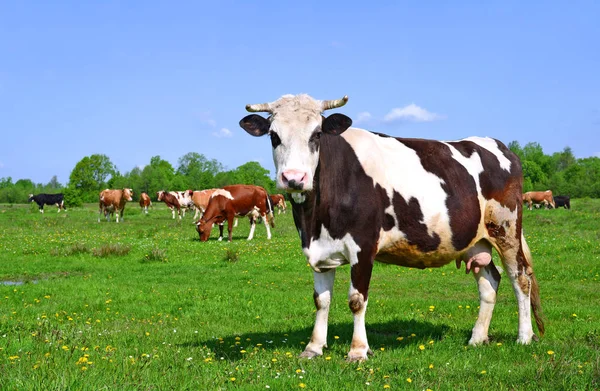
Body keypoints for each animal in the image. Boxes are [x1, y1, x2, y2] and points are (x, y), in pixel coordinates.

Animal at [239, 93, 544, 362]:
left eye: (316, 135)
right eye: (273, 136)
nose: (294, 178)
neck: (315, 218)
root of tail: (495, 144)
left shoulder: (363, 248)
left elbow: (357, 300)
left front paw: (358, 351)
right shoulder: (320, 252)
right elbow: (321, 300)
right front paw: (313, 348)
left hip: (506, 230)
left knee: (520, 278)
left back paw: (524, 337)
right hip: (474, 241)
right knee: (489, 282)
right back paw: (477, 338)